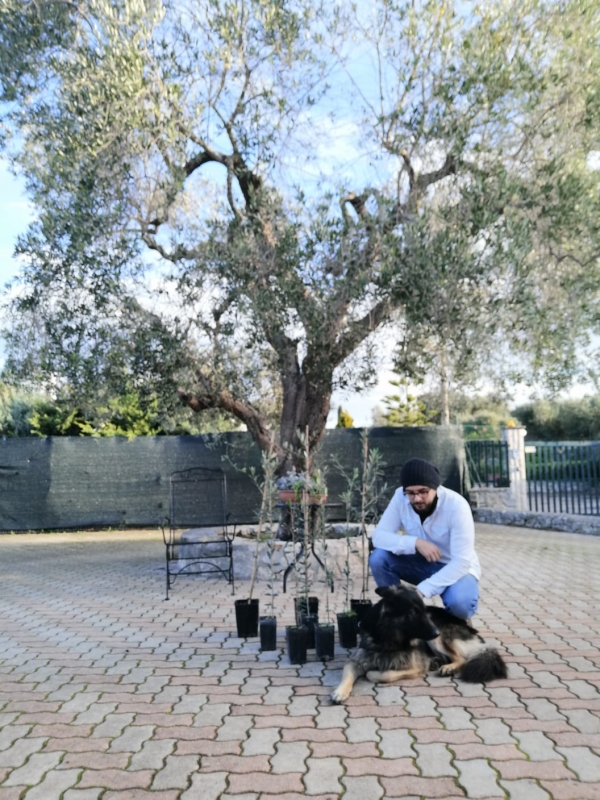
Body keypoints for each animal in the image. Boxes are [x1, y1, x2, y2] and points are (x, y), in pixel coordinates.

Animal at [330, 584, 508, 704]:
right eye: (413, 612)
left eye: (423, 610)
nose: (436, 632)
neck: (387, 637)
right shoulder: (355, 661)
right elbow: (347, 676)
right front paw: (340, 691)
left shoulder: (415, 667)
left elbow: (380, 674)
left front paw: (372, 673)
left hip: (438, 640)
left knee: (462, 658)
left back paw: (447, 667)